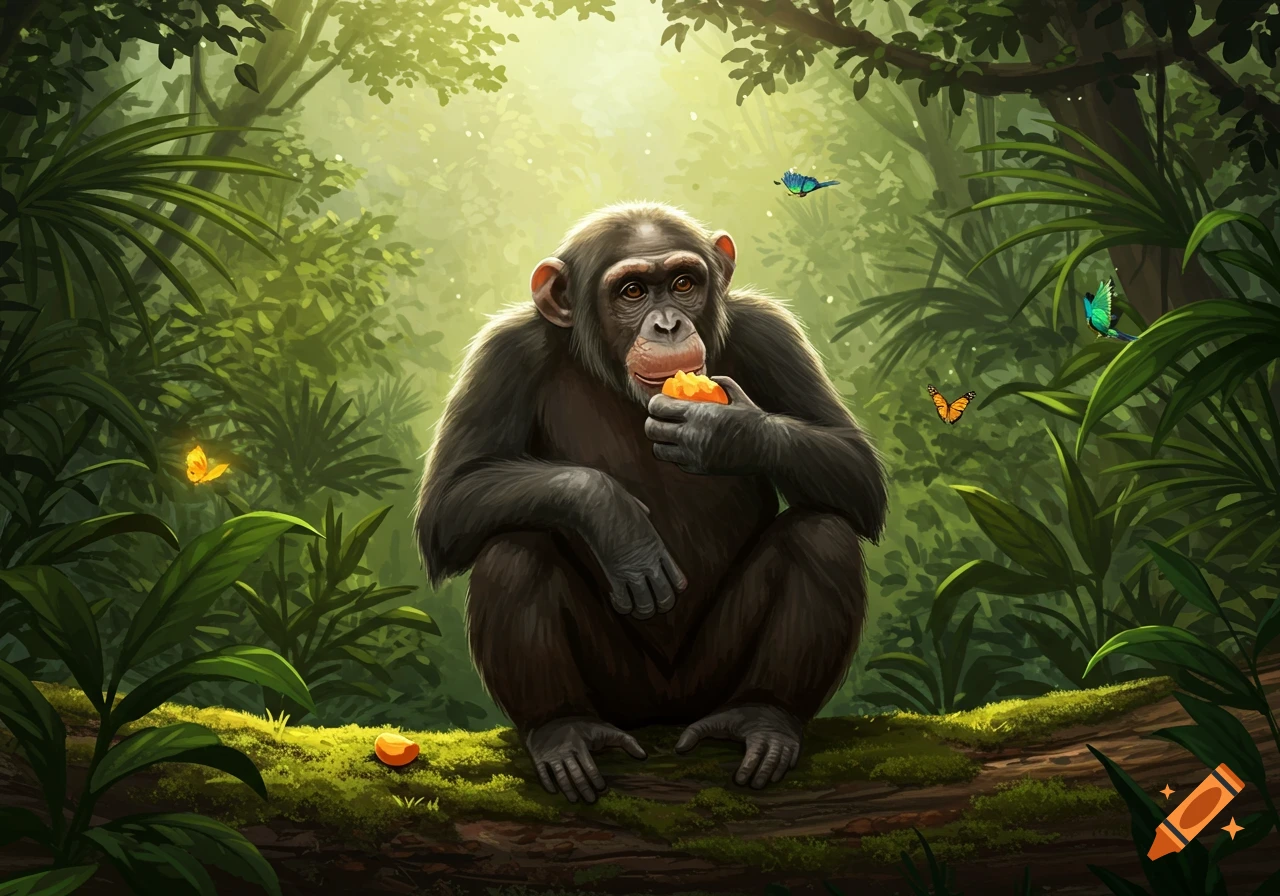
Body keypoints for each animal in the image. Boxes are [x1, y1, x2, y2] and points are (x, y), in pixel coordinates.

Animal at [416, 202, 887, 804]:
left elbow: (856, 469)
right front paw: (614, 521)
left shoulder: (771, 333)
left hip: (708, 681)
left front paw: (726, 433)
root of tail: (666, 712)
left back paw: (765, 717)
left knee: (822, 534)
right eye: (633, 291)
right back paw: (563, 729)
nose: (667, 325)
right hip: (623, 691)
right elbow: (448, 502)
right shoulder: (504, 353)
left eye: (684, 283)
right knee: (513, 550)